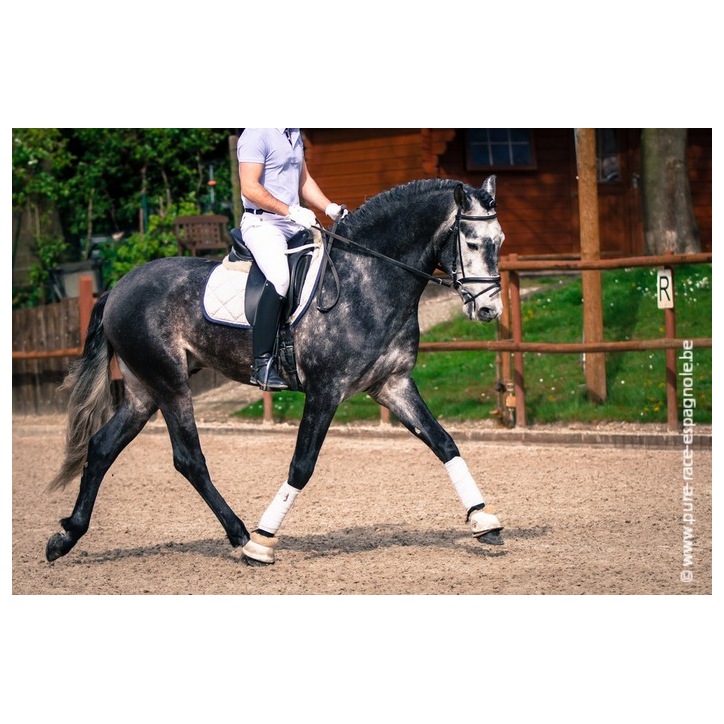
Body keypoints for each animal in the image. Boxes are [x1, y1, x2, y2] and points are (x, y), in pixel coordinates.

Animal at [46, 176, 506, 566]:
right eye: (471, 242)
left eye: (499, 241)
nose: (489, 309)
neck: (369, 280)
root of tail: (118, 287)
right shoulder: (326, 390)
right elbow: (301, 465)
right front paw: (264, 540)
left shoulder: (392, 385)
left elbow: (444, 443)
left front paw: (483, 520)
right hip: (169, 383)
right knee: (189, 459)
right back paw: (241, 537)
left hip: (144, 390)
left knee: (102, 446)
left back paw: (66, 537)